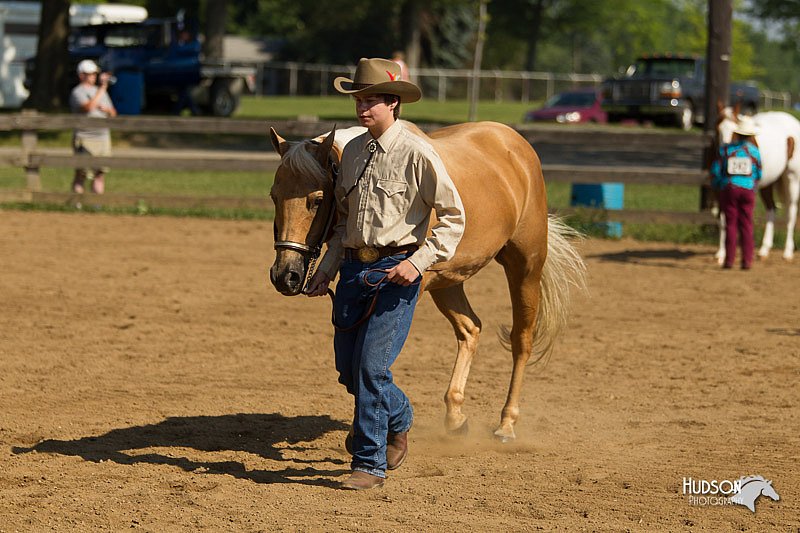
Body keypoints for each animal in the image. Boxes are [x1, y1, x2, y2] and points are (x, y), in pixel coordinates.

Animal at [268, 120, 588, 440]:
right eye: (273, 195)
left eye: (317, 200)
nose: (285, 276)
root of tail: (513, 142)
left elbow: (371, 362)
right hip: (448, 280)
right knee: (471, 328)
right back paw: (456, 416)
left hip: (525, 267)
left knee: (521, 340)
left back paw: (506, 424)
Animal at [716, 104, 800, 262]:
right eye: (718, 127)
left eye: (734, 129)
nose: (724, 151)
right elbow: (725, 219)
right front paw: (721, 254)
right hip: (769, 183)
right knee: (771, 208)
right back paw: (764, 250)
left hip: (792, 179)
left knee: (790, 212)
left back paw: (787, 252)